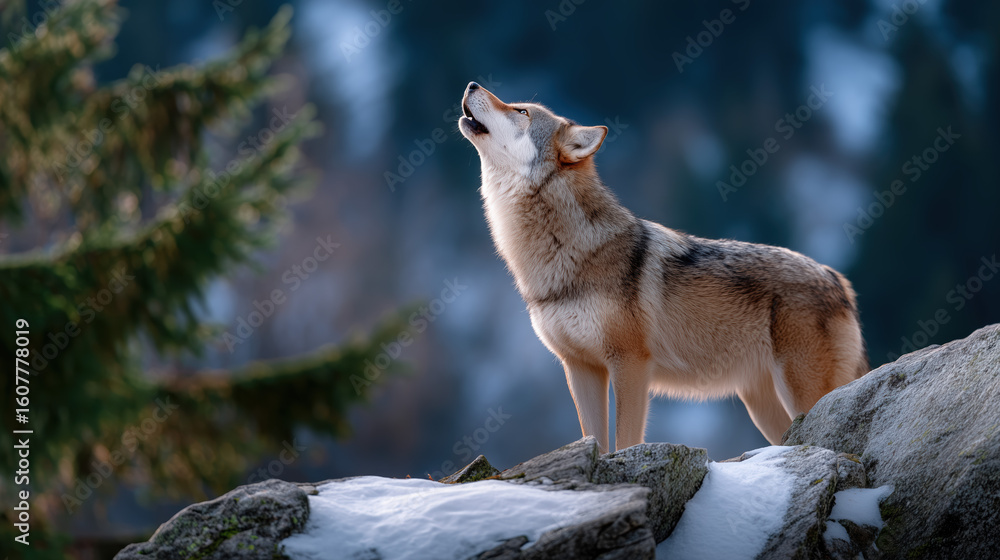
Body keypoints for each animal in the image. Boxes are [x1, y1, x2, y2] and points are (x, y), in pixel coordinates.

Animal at [458, 82, 868, 452]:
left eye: (521, 111)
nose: (472, 84)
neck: (564, 254)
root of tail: (836, 278)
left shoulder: (630, 364)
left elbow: (625, 441)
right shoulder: (580, 369)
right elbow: (594, 440)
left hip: (803, 393)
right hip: (761, 404)